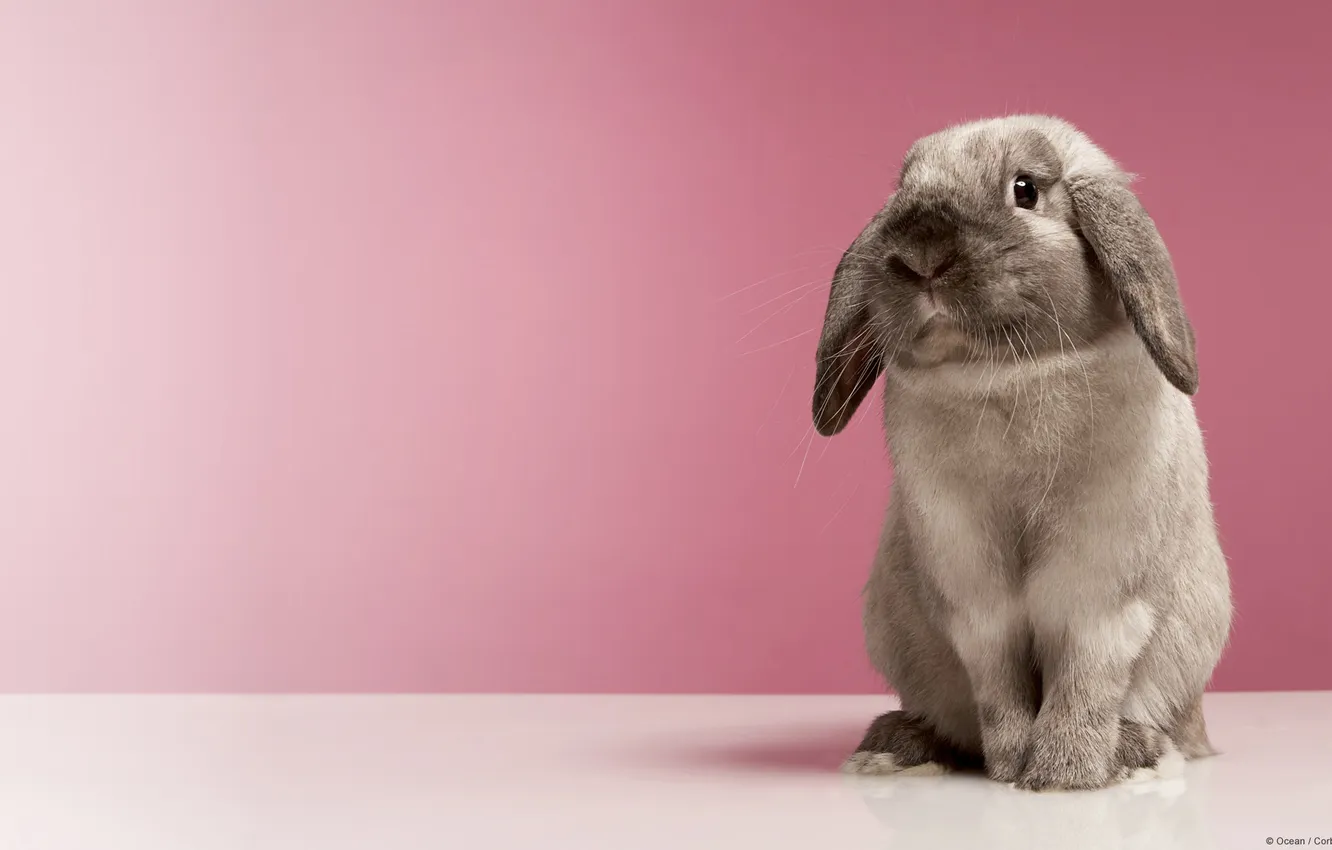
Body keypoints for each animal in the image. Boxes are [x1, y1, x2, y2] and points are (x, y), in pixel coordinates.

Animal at [813, 115, 1231, 791]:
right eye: (904, 188)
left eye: (1026, 189)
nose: (921, 254)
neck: (1004, 377)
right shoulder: (973, 595)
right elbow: (999, 681)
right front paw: (1010, 766)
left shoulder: (1101, 589)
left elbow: (1085, 675)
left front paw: (1066, 774)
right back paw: (895, 748)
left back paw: (1134, 752)